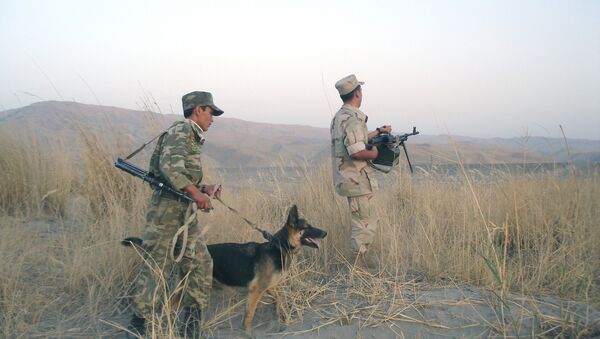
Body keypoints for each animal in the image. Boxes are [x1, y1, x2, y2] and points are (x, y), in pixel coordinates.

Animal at [123, 206, 328, 336]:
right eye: (307, 227)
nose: (325, 233)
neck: (279, 246)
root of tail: (183, 252)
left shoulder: (269, 286)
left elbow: (279, 300)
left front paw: (280, 318)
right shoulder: (256, 291)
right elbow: (249, 316)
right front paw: (248, 334)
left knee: (172, 307)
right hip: (187, 287)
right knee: (168, 306)